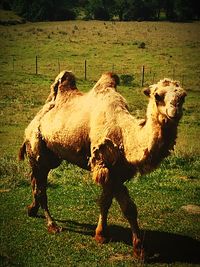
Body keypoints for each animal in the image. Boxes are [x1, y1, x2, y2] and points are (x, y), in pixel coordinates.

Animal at [18, 71, 186, 260]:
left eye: (183, 96)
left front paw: (135, 246)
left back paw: (32, 209)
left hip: (49, 156)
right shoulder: (104, 165)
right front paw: (108, 237)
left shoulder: (117, 171)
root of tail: (35, 120)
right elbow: (115, 204)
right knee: (41, 188)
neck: (125, 135)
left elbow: (120, 206)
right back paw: (52, 225)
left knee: (35, 179)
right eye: (157, 95)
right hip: (37, 147)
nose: (175, 111)